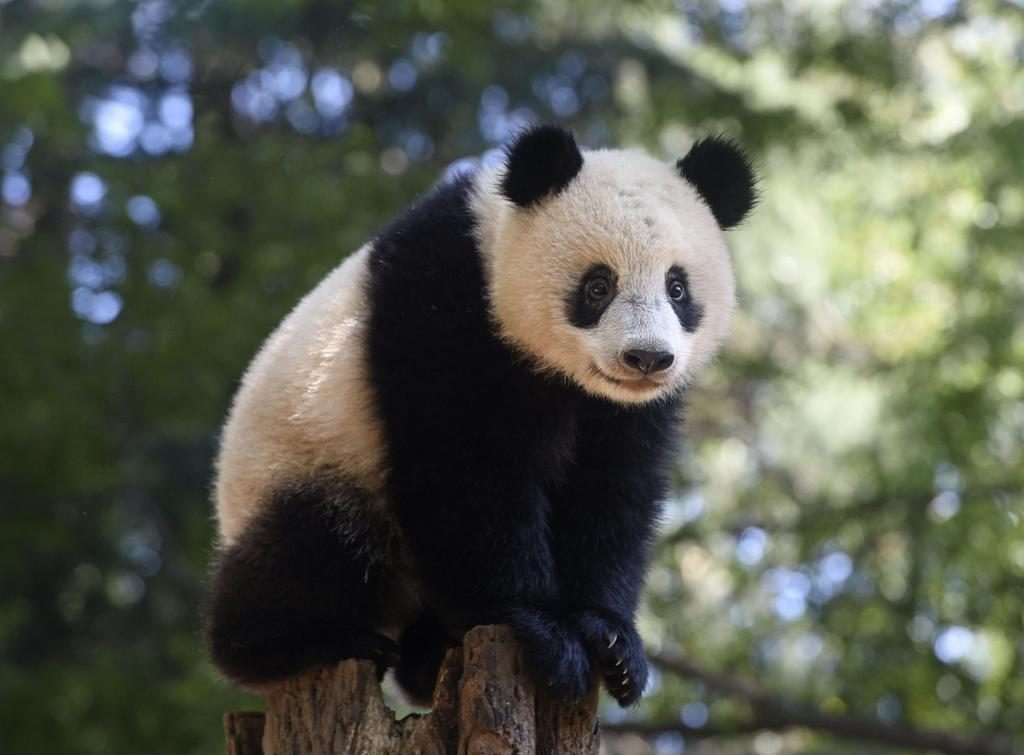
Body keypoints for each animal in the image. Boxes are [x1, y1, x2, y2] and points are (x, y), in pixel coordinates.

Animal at [203, 123, 757, 704]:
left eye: (677, 287)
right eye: (598, 285)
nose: (646, 359)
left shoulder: (625, 412)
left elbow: (612, 493)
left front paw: (612, 643)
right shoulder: (442, 313)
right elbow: (468, 476)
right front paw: (546, 634)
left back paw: (426, 658)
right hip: (308, 457)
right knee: (317, 540)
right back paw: (299, 643)